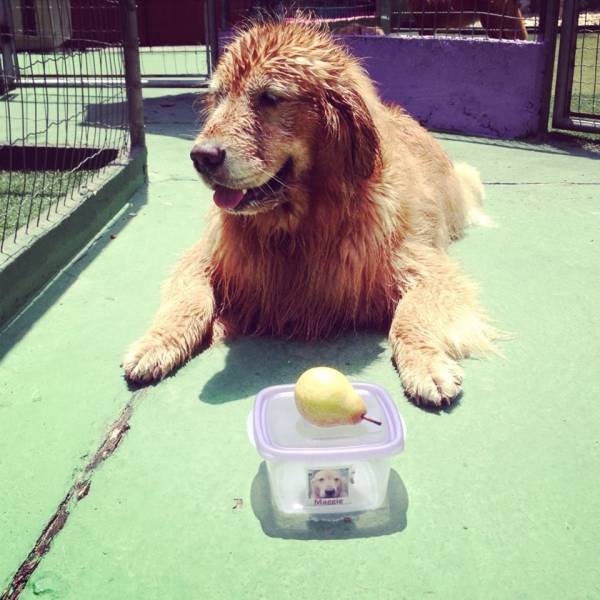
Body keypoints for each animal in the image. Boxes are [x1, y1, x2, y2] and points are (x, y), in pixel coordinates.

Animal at [123, 21, 496, 410]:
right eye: (219, 96)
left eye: (270, 98)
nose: (201, 157)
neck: (297, 229)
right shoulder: (208, 256)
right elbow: (187, 299)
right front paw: (156, 342)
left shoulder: (427, 267)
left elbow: (410, 317)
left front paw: (426, 366)